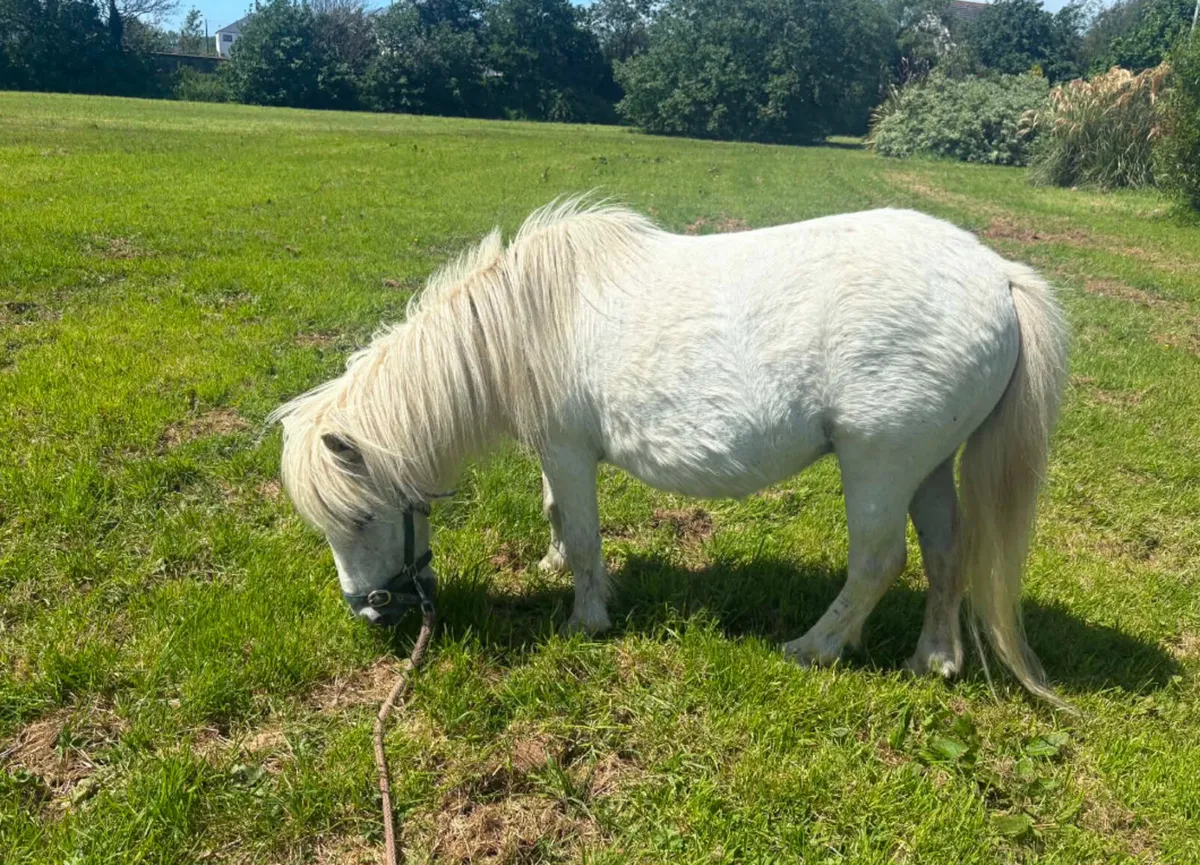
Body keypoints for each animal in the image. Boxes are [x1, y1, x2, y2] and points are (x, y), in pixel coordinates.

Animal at [269, 198, 1069, 705]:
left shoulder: (566, 450)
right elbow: (557, 517)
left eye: (359, 518)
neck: (526, 324)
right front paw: (552, 567)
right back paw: (935, 658)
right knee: (945, 551)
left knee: (879, 561)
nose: (372, 615)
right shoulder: (554, 456)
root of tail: (999, 277)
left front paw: (585, 618)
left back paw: (814, 647)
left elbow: (584, 534)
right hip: (926, 466)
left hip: (880, 462)